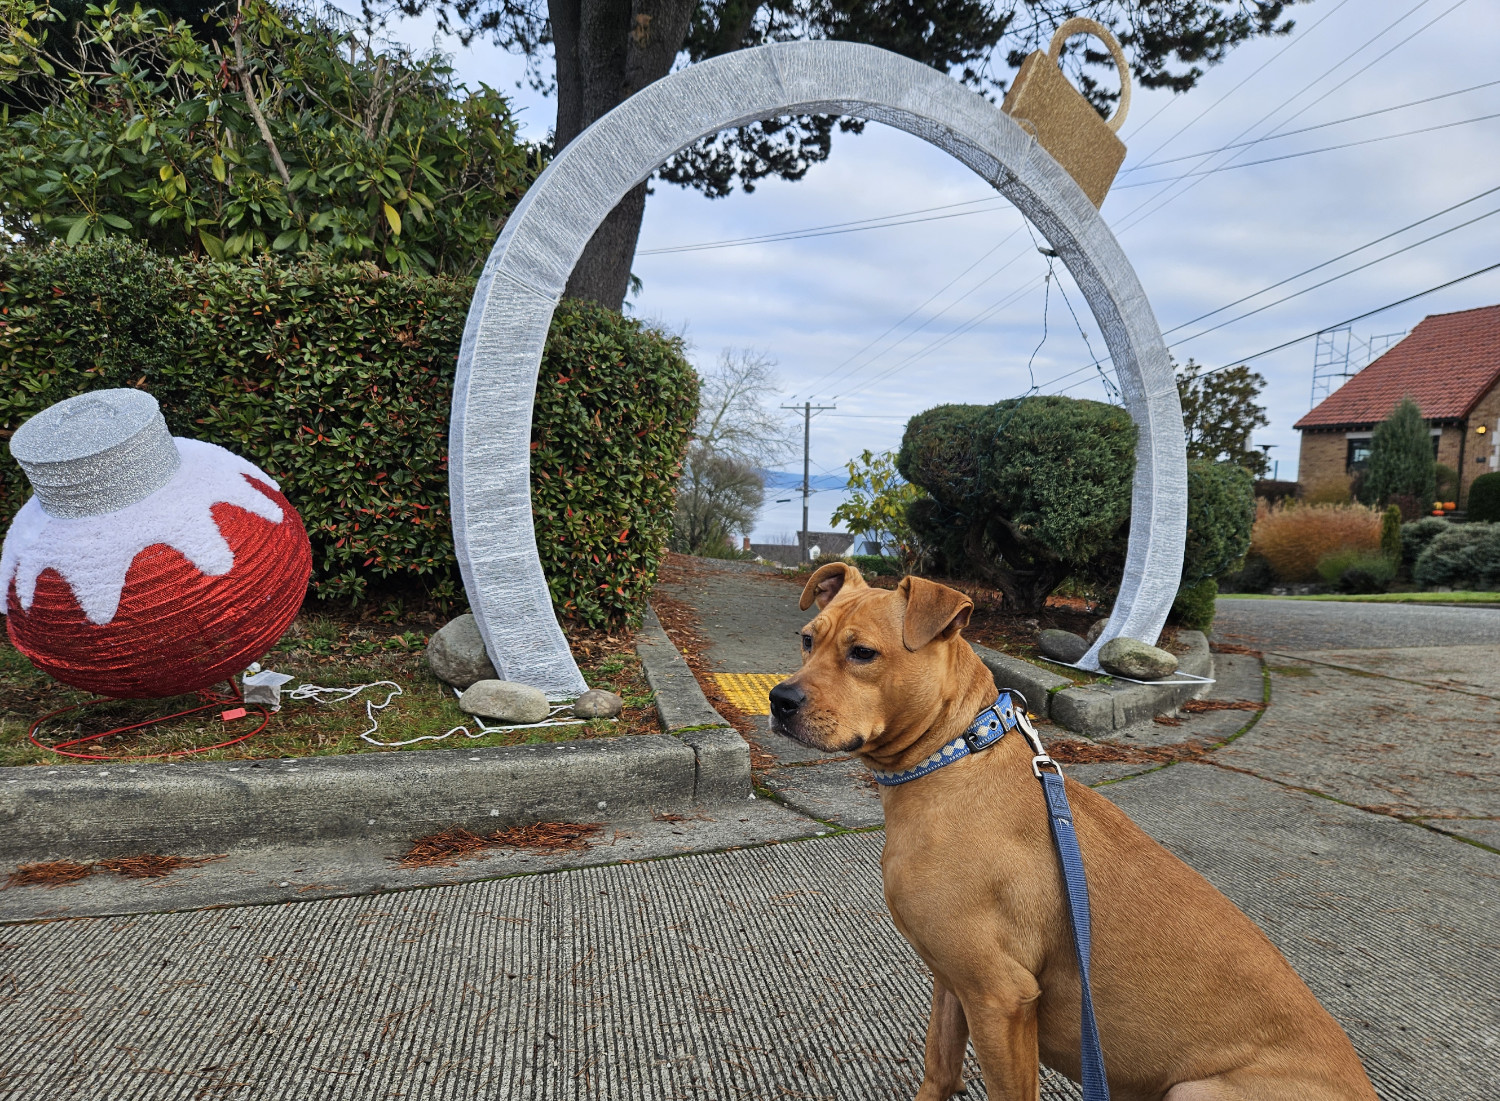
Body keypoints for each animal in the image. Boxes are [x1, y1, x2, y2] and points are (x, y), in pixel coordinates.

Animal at [780, 564, 1374, 1101]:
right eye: (808, 640)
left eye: (863, 653)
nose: (780, 701)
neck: (952, 755)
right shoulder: (954, 982)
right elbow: (938, 1070)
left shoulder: (1000, 997)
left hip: (1196, 1091)